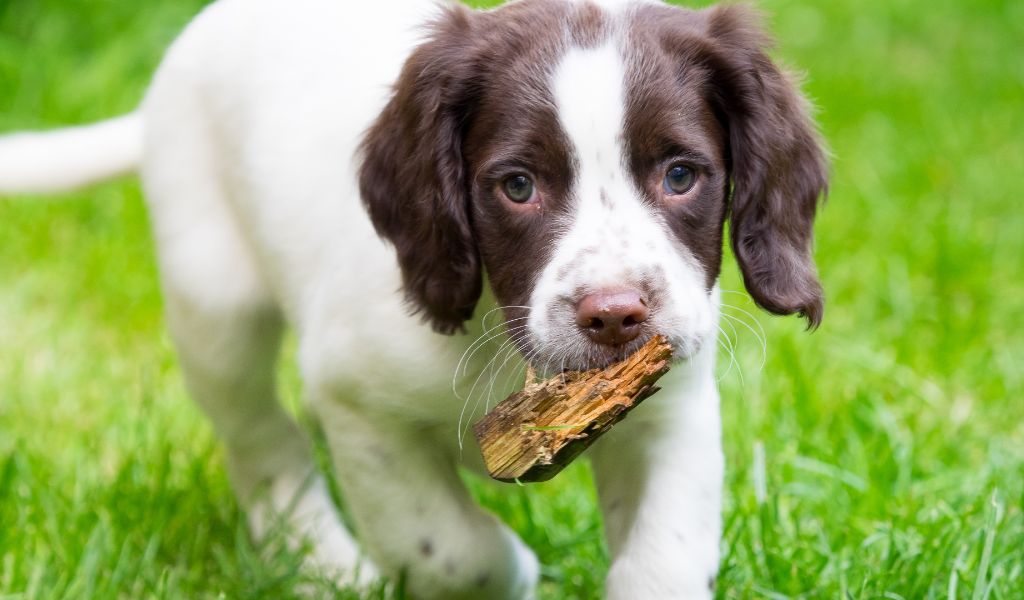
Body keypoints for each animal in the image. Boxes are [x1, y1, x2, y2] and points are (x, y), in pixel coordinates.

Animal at [0, 0, 823, 593]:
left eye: (681, 175)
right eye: (516, 186)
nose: (616, 315)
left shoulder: (671, 406)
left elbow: (664, 558)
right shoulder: (357, 405)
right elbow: (447, 548)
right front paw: (513, 568)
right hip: (214, 301)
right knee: (262, 439)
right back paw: (328, 564)